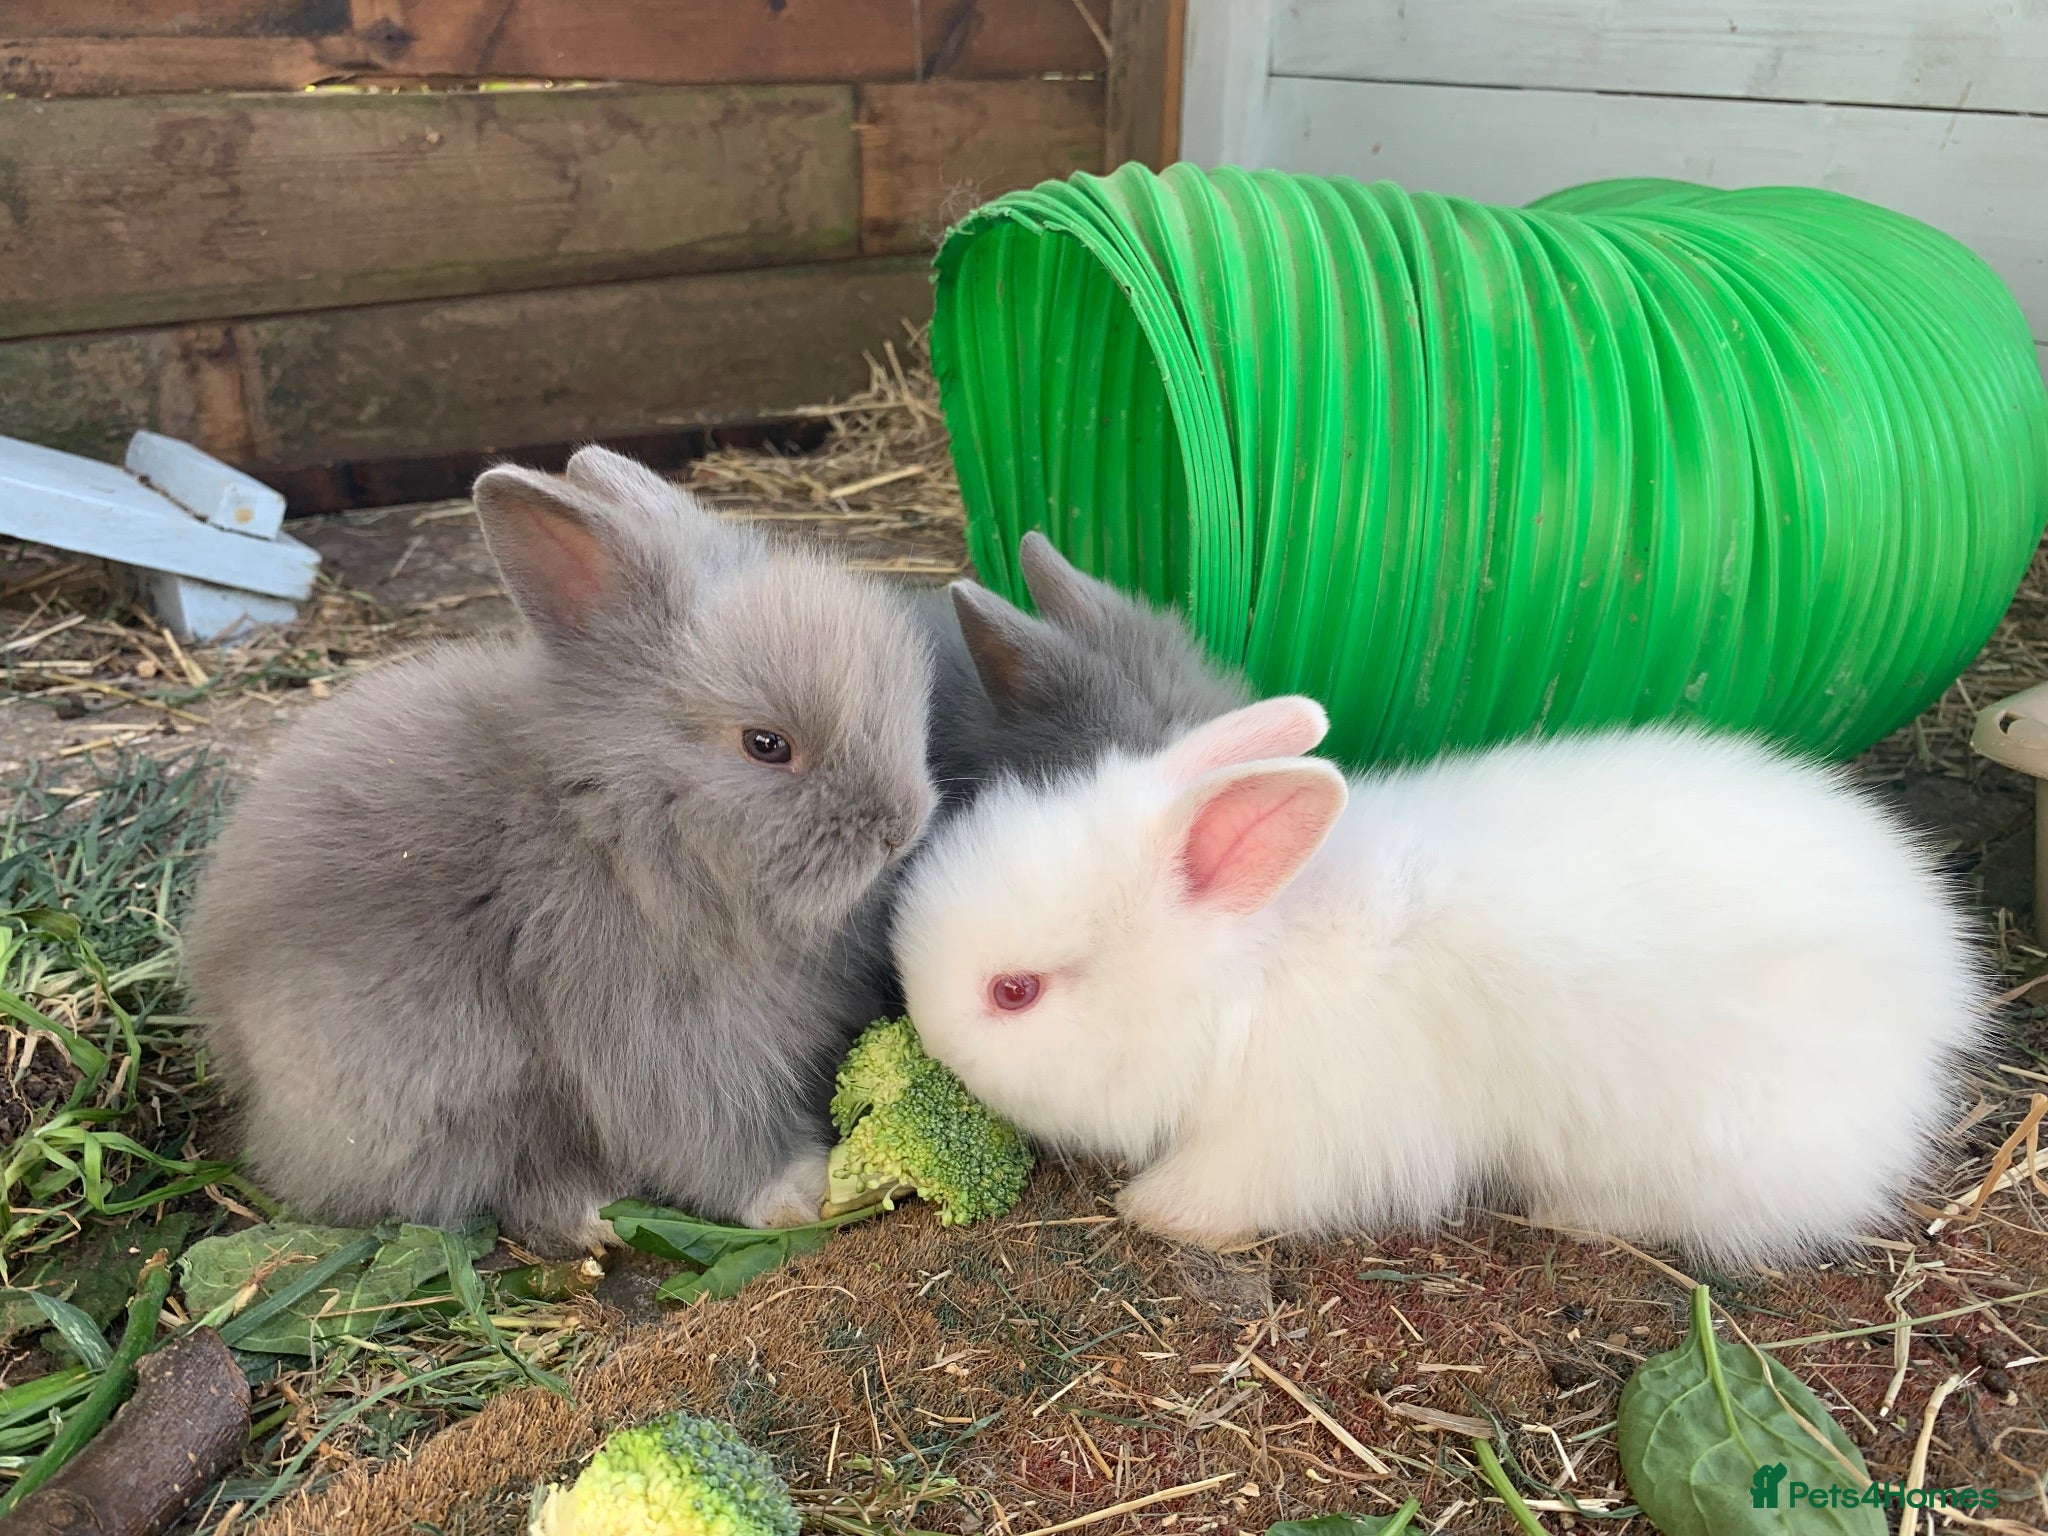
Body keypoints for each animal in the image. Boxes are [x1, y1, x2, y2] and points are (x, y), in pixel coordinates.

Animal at [185, 446, 937, 1257]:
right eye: (767, 745)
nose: (902, 826)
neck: (614, 822)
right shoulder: (650, 1029)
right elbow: (704, 1133)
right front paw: (802, 1192)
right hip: (448, 1090)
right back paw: (593, 1218)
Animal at [891, 694, 1992, 1267]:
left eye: (1014, 992)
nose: (922, 1030)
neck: (1251, 969)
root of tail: (1938, 982)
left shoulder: (1302, 1134)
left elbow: (1226, 1186)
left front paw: (1154, 1213)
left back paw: (1565, 1214)